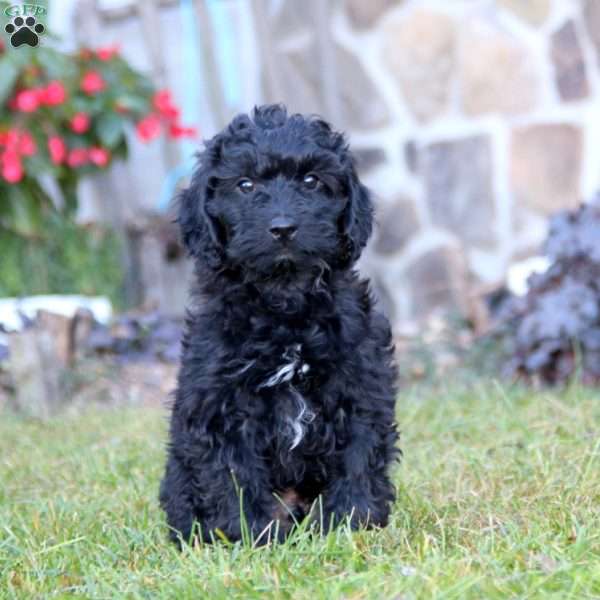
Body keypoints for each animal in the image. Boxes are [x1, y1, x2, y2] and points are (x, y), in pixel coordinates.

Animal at [161, 105, 398, 548]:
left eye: (311, 180)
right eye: (245, 185)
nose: (283, 228)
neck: (285, 307)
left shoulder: (361, 386)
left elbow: (359, 457)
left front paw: (348, 522)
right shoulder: (221, 404)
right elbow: (233, 473)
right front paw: (253, 534)